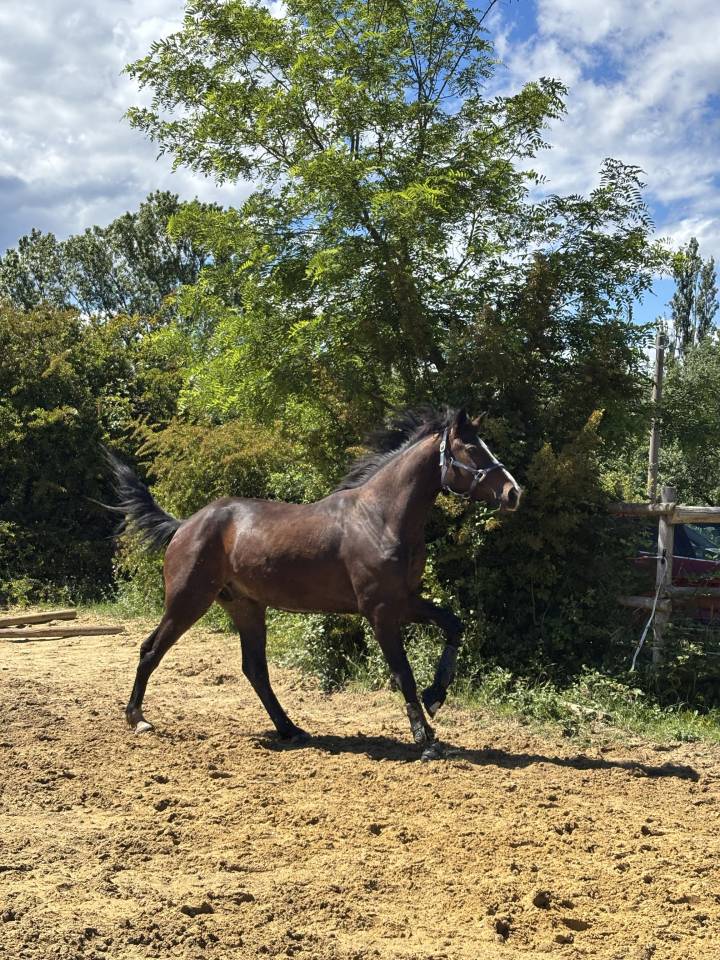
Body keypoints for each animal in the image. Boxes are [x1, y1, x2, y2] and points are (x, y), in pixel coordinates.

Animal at [107, 407, 521, 749]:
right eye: (471, 449)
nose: (513, 492)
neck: (381, 517)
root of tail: (184, 525)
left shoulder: (403, 601)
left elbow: (454, 625)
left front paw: (436, 696)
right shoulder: (380, 611)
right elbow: (402, 671)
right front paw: (425, 735)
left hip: (245, 607)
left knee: (255, 670)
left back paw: (291, 729)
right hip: (188, 601)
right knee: (151, 650)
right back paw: (138, 719)